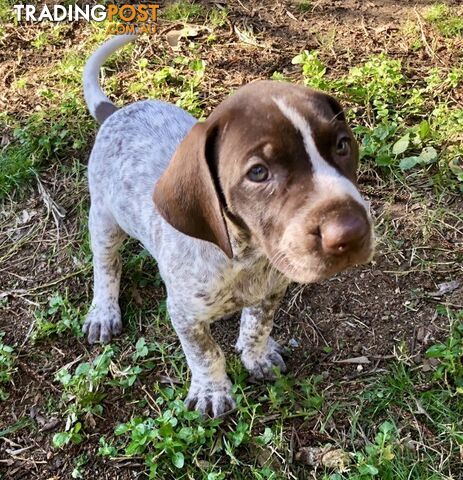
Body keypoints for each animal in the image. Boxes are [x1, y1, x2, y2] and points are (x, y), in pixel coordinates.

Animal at [81, 35, 376, 416]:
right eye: (258, 172)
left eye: (342, 145)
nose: (351, 232)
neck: (245, 256)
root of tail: (115, 112)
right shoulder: (184, 313)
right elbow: (205, 353)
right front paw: (212, 391)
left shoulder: (271, 289)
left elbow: (257, 325)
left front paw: (257, 355)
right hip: (104, 218)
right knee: (106, 264)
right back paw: (103, 311)